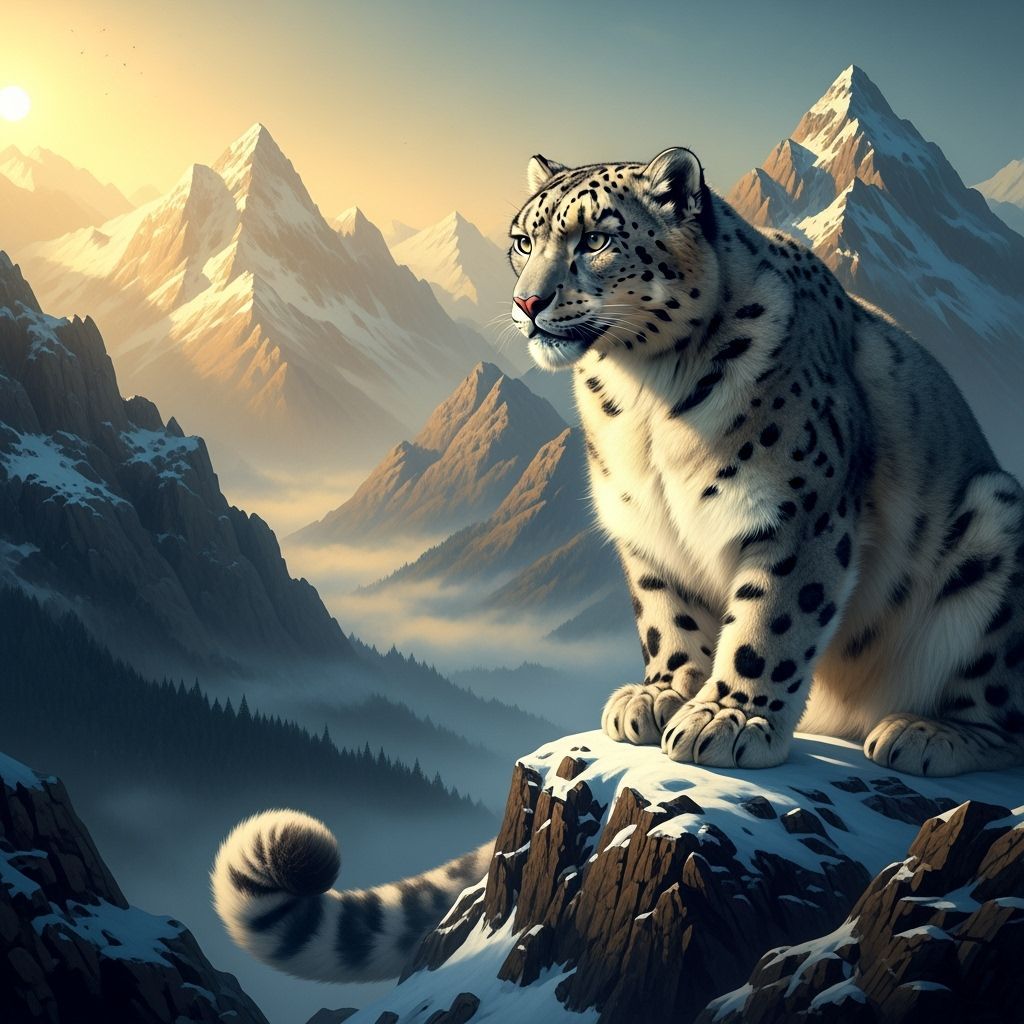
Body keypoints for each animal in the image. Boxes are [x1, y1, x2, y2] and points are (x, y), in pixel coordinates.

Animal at [211, 147, 1024, 984]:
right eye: (522, 239)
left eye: (596, 239)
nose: (528, 301)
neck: (644, 400)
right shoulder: (645, 533)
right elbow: (671, 619)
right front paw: (660, 698)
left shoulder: (796, 517)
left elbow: (770, 623)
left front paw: (730, 718)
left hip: (996, 528)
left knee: (1001, 710)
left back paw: (925, 733)